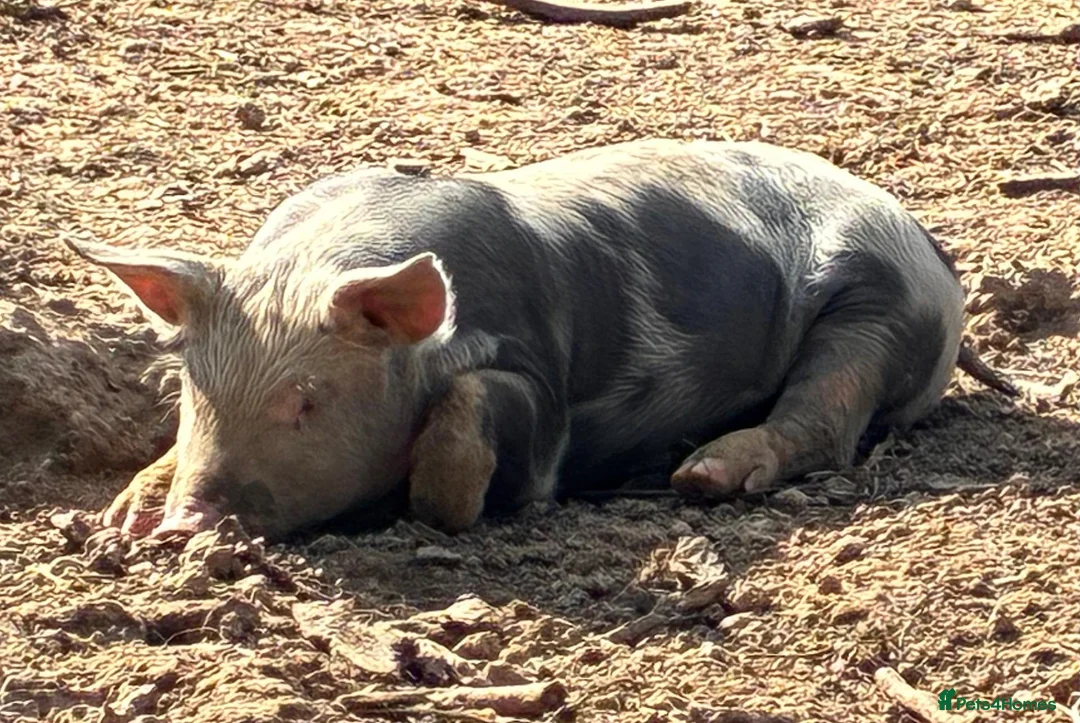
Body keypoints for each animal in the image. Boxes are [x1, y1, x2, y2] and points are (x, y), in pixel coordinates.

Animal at [66, 139, 1016, 541]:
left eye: (306, 400)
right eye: (193, 392)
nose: (186, 522)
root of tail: (934, 252)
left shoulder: (543, 390)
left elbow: (483, 407)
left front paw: (445, 508)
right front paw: (120, 516)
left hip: (877, 305)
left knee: (827, 416)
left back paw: (699, 476)